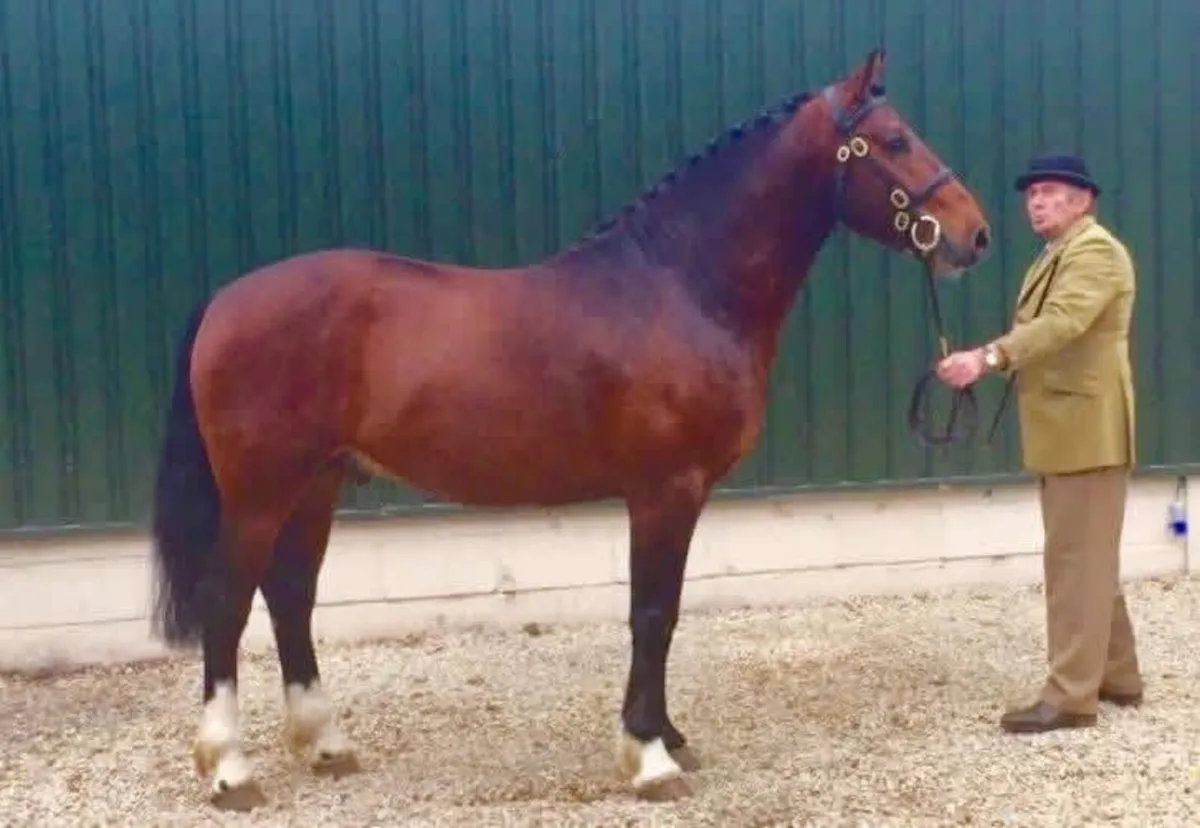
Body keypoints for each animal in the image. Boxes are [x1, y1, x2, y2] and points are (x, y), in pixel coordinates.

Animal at [148, 48, 991, 810]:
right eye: (894, 140)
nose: (974, 233)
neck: (682, 284)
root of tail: (226, 299)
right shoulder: (664, 490)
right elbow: (653, 614)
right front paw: (650, 758)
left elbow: (664, 616)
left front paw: (669, 735)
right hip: (261, 490)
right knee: (228, 601)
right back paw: (230, 770)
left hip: (318, 481)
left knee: (290, 594)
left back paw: (325, 743)